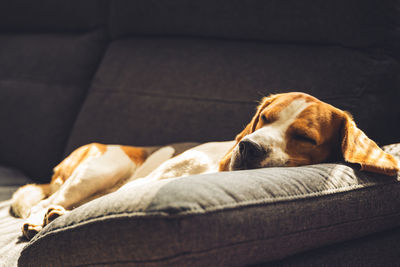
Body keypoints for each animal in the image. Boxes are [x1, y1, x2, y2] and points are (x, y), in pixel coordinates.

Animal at [10, 93, 398, 240]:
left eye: (304, 136)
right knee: (49, 200)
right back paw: (42, 216)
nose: (247, 146)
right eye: (264, 118)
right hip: (103, 168)